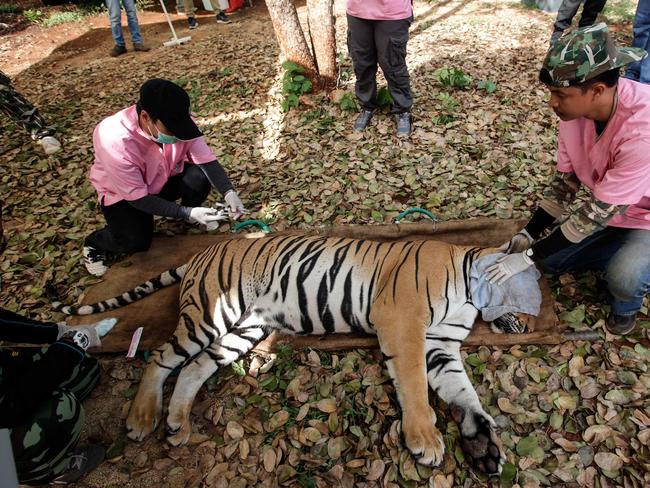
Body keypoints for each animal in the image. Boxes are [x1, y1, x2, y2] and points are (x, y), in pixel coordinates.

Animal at [55, 234, 508, 474]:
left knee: (194, 367)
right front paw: (425, 440)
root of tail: (201, 252)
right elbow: (414, 385)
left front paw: (482, 441)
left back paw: (178, 424)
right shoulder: (403, 321)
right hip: (209, 313)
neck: (470, 286)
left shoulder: (440, 344)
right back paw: (142, 418)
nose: (519, 319)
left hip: (246, 327)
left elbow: (463, 391)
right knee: (160, 358)